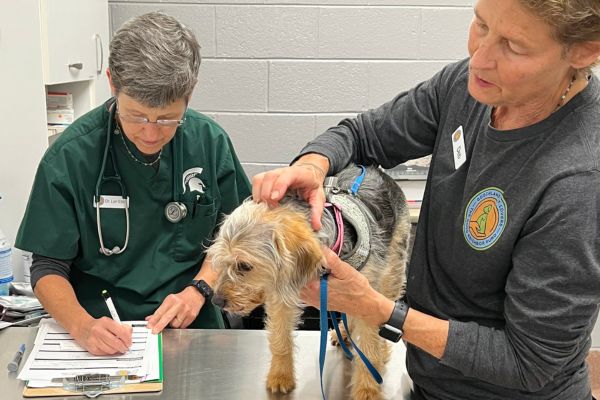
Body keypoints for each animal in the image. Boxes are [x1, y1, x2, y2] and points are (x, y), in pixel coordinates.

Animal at [207, 164, 412, 398]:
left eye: (244, 266)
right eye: (221, 261)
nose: (216, 301)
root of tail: (377, 171)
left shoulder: (366, 299)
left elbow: (369, 349)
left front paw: (367, 390)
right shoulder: (281, 295)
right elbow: (280, 339)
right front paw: (280, 375)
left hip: (392, 268)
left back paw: (381, 349)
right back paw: (344, 333)